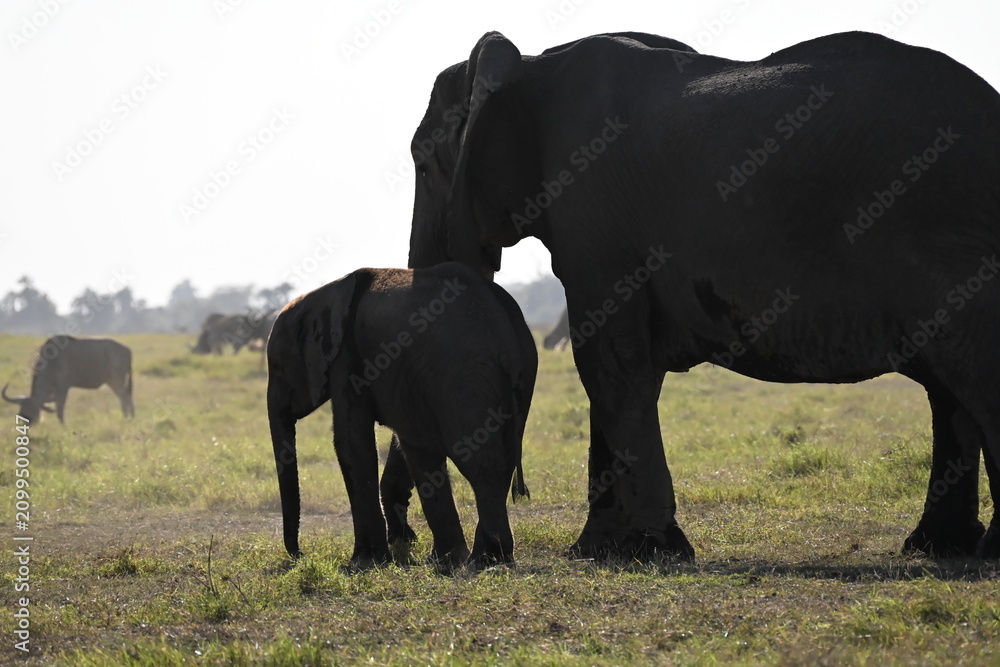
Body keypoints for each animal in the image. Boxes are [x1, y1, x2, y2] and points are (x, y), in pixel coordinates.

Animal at [266, 262, 536, 569]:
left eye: (277, 368)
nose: (301, 554)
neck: (326, 294)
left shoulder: (347, 358)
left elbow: (351, 442)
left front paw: (363, 564)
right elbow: (414, 449)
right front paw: (439, 559)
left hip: (466, 374)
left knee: (480, 463)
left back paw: (484, 560)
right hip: (518, 375)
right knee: (498, 458)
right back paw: (478, 558)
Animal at [406, 30, 1000, 561]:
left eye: (422, 162)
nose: (416, 549)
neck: (527, 65)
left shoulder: (593, 208)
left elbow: (608, 362)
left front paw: (655, 548)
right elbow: (622, 364)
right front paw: (600, 551)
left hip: (947, 233)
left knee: (969, 373)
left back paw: (978, 550)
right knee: (949, 387)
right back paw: (939, 547)